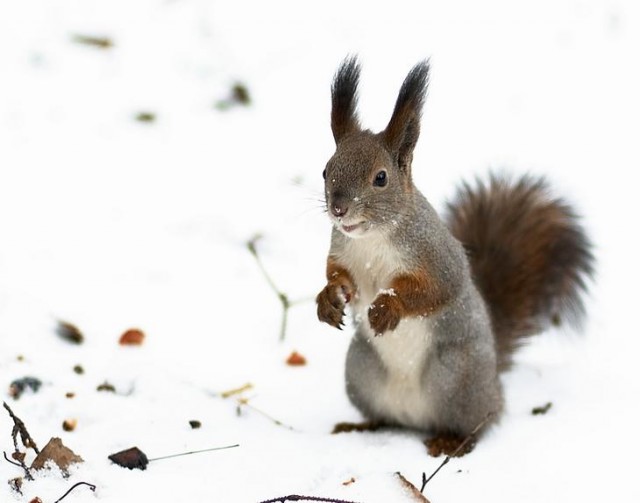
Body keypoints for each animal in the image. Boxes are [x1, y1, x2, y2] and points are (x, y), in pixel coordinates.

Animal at [316, 57, 596, 458]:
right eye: (326, 169)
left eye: (380, 178)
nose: (339, 209)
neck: (372, 240)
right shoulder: (343, 251)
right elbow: (339, 277)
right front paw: (327, 300)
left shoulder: (436, 256)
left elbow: (435, 290)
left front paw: (387, 308)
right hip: (360, 372)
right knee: (384, 417)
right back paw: (360, 426)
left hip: (457, 378)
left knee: (479, 423)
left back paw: (453, 441)